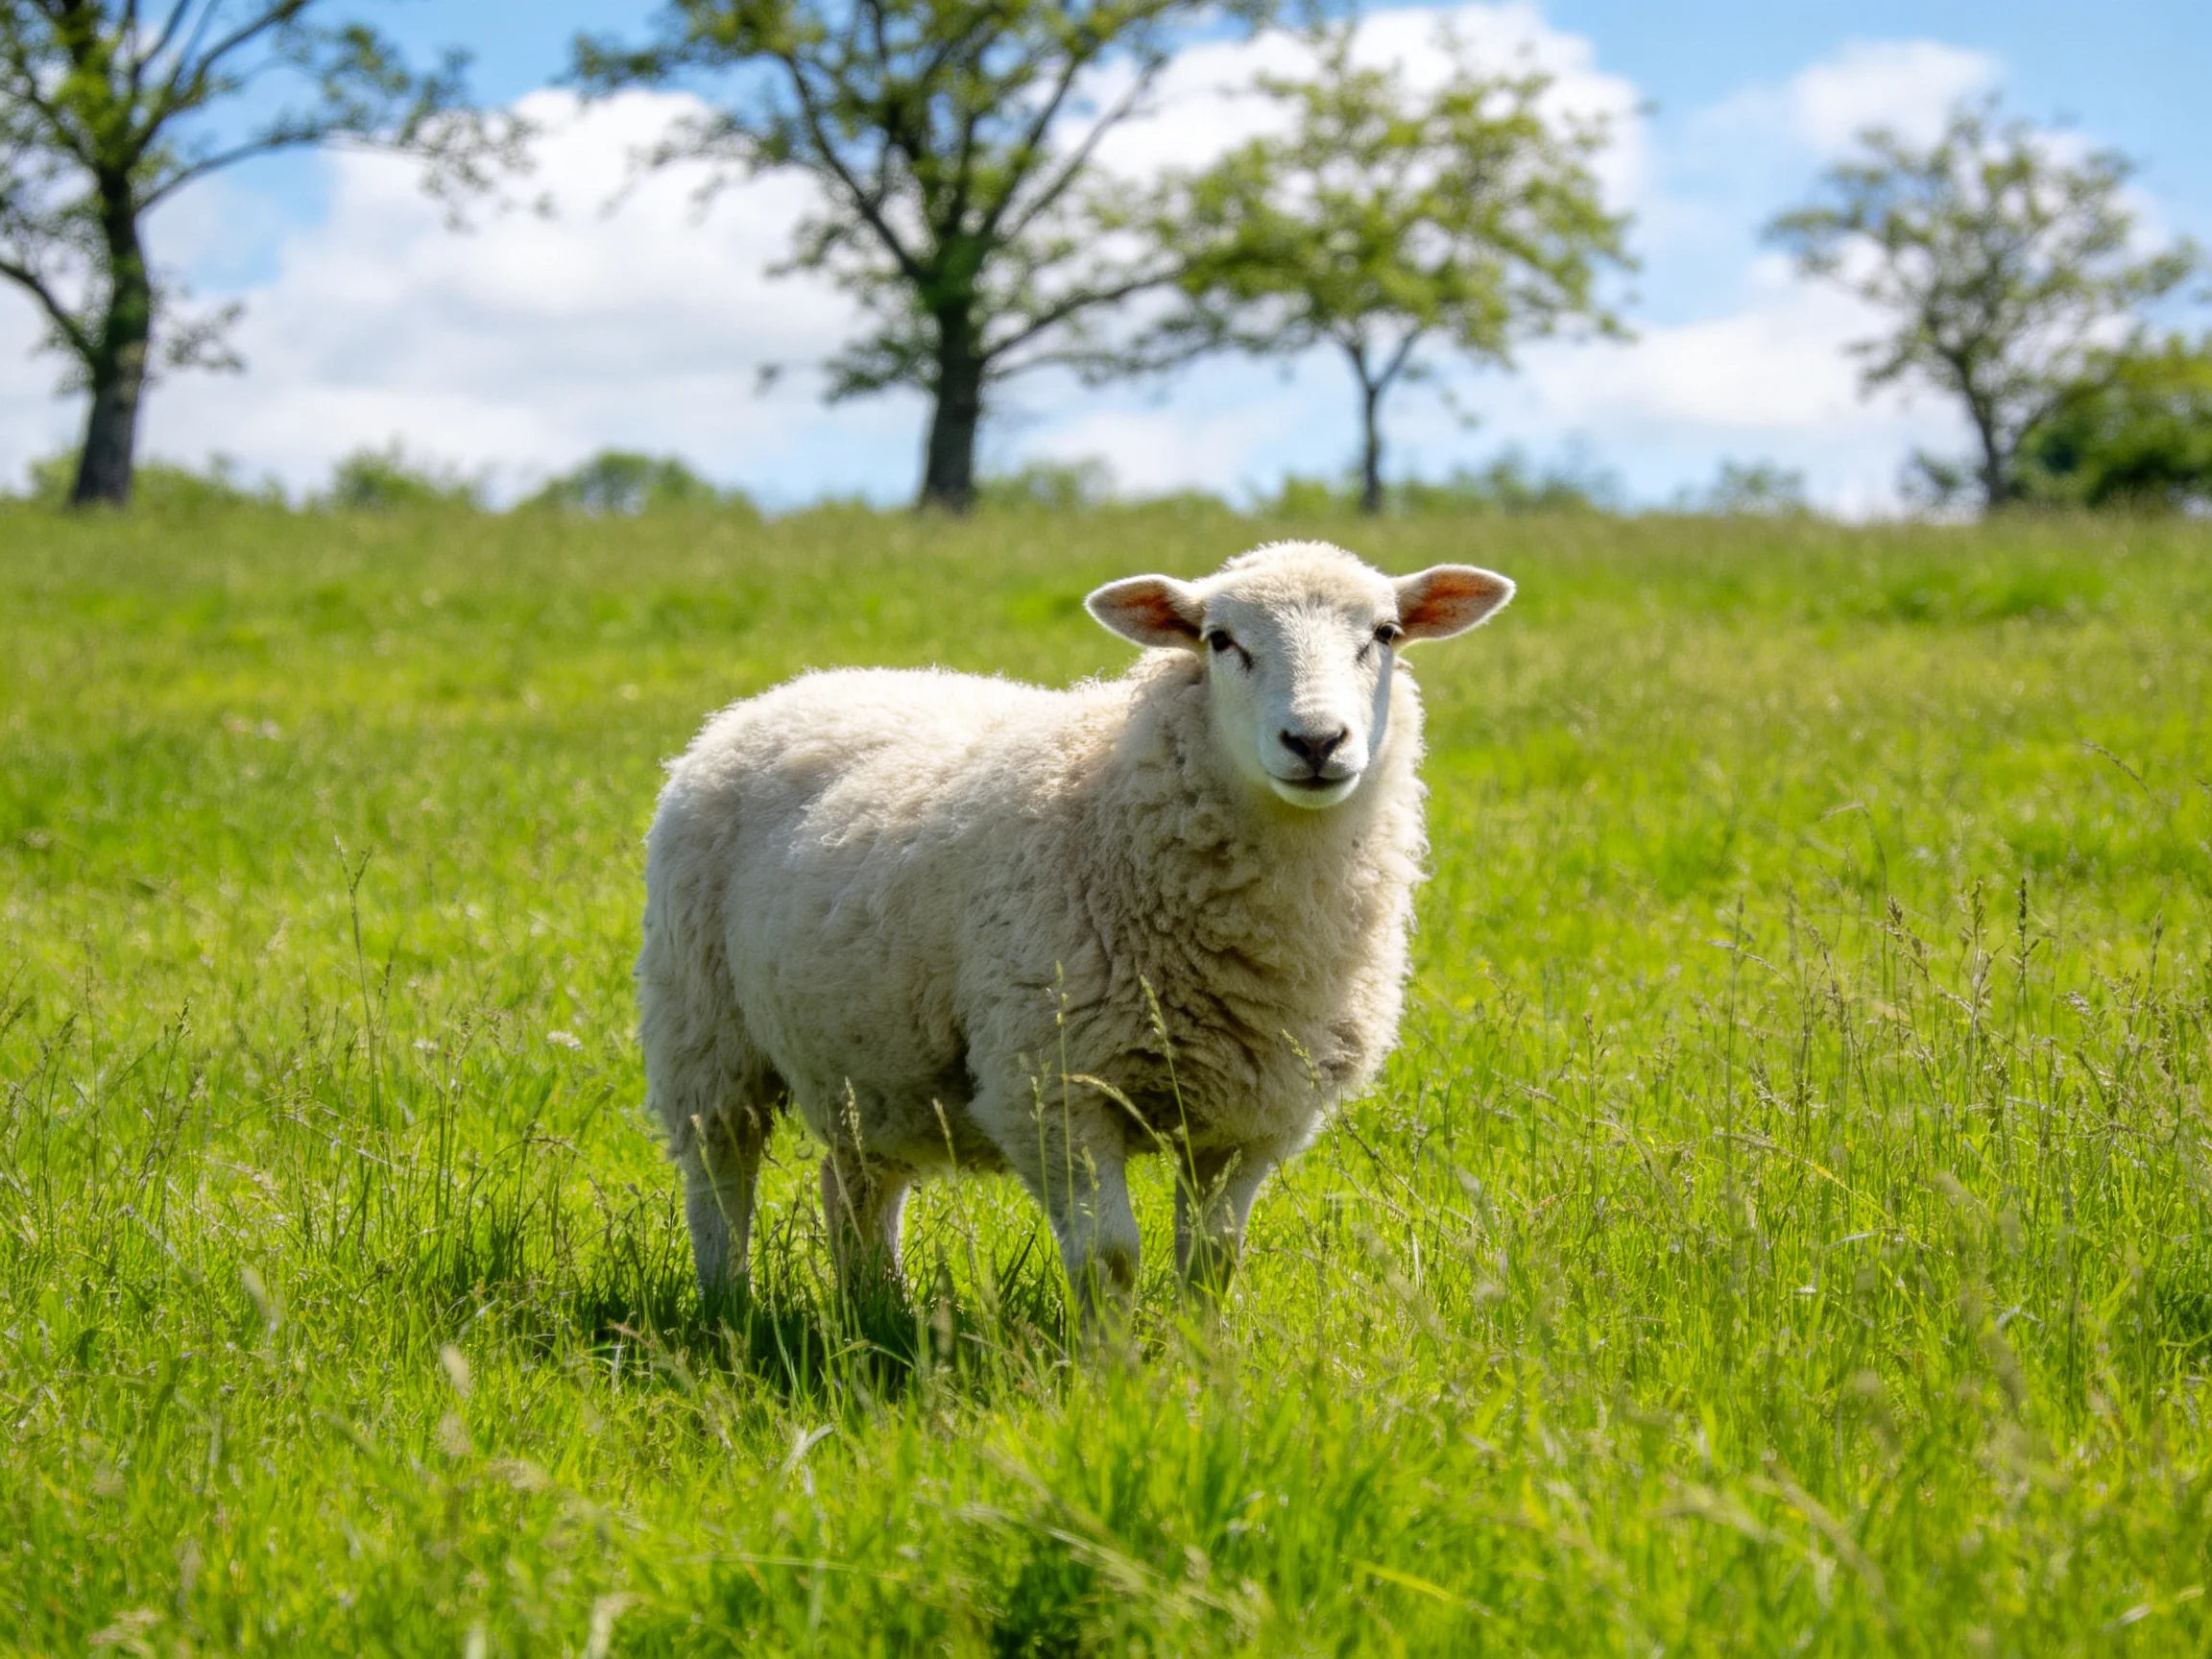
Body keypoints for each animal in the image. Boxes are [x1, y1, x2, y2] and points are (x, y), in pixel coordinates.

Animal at [636, 539, 1514, 1317]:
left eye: (1385, 635)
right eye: (1220, 640)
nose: (1316, 741)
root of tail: (795, 689)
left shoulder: (1252, 1112)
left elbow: (1212, 1260)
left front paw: (1204, 1369)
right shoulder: (1054, 1085)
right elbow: (1111, 1257)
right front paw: (1113, 1378)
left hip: (868, 1061)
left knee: (853, 1184)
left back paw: (880, 1313)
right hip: (702, 1026)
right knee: (719, 1175)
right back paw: (731, 1311)